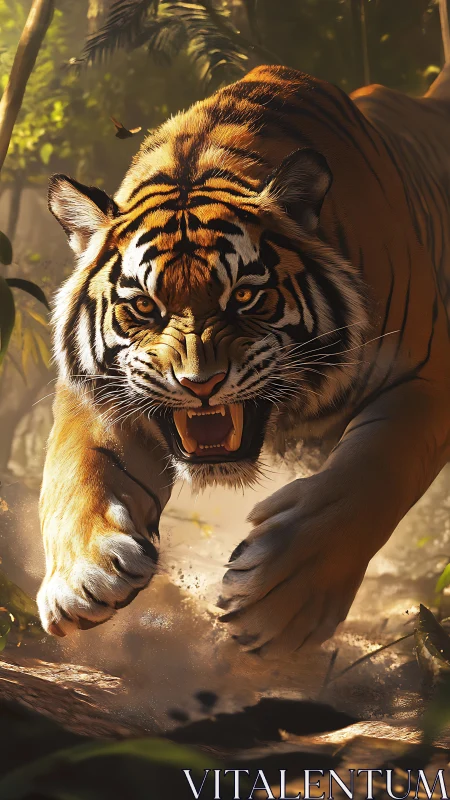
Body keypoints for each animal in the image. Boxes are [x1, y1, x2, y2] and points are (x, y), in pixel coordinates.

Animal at [37, 62, 450, 657]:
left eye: (246, 296)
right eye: (144, 306)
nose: (198, 383)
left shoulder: (427, 375)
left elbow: (371, 472)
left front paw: (281, 597)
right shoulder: (98, 389)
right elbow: (75, 468)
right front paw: (80, 577)